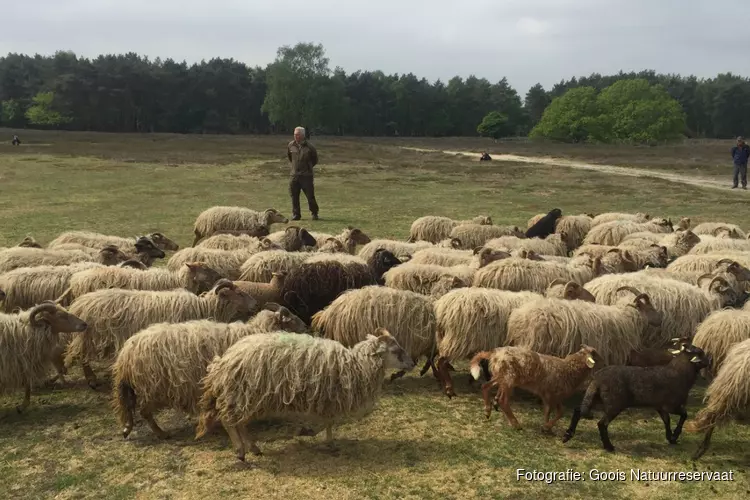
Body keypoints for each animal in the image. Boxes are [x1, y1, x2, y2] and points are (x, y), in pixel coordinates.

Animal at [65, 278, 258, 386]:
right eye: (240, 294)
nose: (255, 305)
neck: (203, 307)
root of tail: (79, 303)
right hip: (89, 336)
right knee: (82, 356)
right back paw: (91, 380)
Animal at [113, 302, 306, 440]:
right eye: (292, 319)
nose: (306, 328)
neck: (257, 331)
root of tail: (125, 355)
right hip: (152, 387)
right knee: (144, 412)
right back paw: (162, 434)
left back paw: (129, 429)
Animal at [197, 328, 414, 460]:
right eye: (396, 350)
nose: (412, 364)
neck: (356, 365)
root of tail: (225, 361)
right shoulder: (329, 398)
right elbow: (329, 422)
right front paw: (329, 442)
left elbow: (328, 422)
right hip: (242, 394)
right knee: (230, 422)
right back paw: (240, 451)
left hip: (248, 397)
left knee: (240, 423)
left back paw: (254, 448)